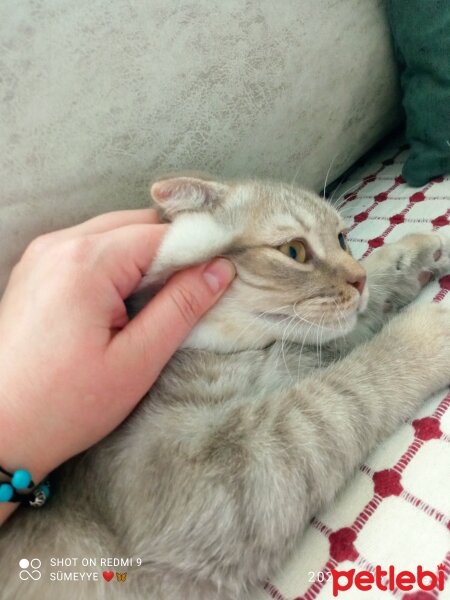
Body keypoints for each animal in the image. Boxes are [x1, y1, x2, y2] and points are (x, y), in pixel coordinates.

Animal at [0, 175, 450, 600]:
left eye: (342, 238)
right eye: (294, 252)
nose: (357, 281)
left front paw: (405, 258)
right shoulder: (227, 476)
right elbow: (342, 390)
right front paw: (423, 332)